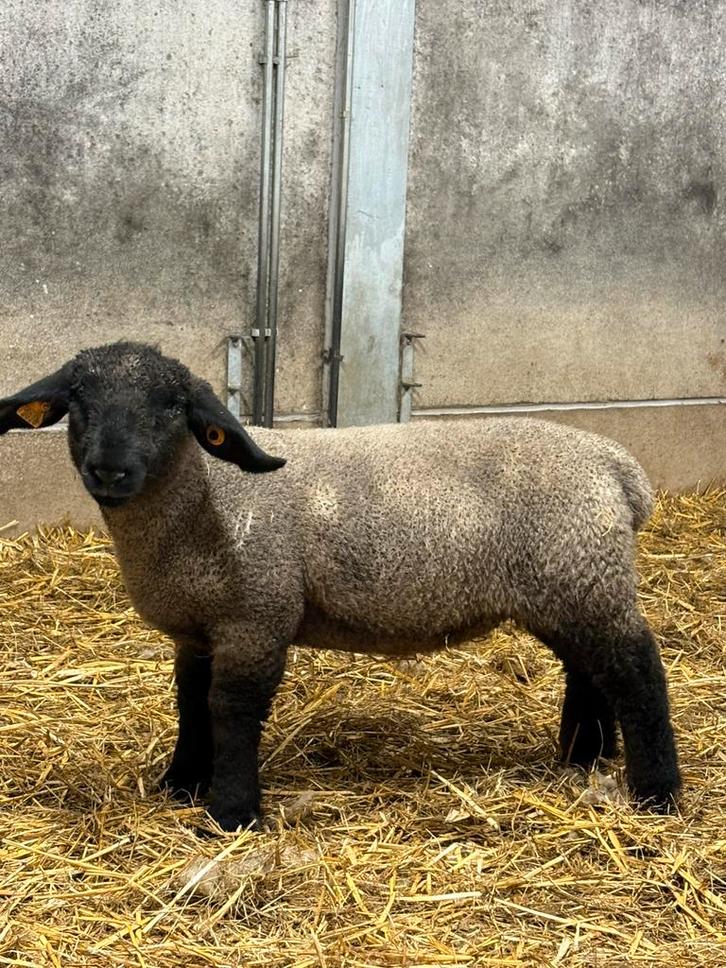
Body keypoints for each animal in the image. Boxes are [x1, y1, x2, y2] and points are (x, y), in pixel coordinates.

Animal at [0, 342, 681, 830]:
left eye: (171, 406)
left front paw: (231, 813)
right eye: (78, 399)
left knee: (637, 670)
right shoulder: (198, 629)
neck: (206, 497)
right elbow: (191, 702)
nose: (110, 470)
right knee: (589, 669)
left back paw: (657, 792)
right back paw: (585, 756)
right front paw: (181, 783)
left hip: (582, 573)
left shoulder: (257, 616)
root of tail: (618, 468)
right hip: (566, 585)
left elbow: (232, 709)